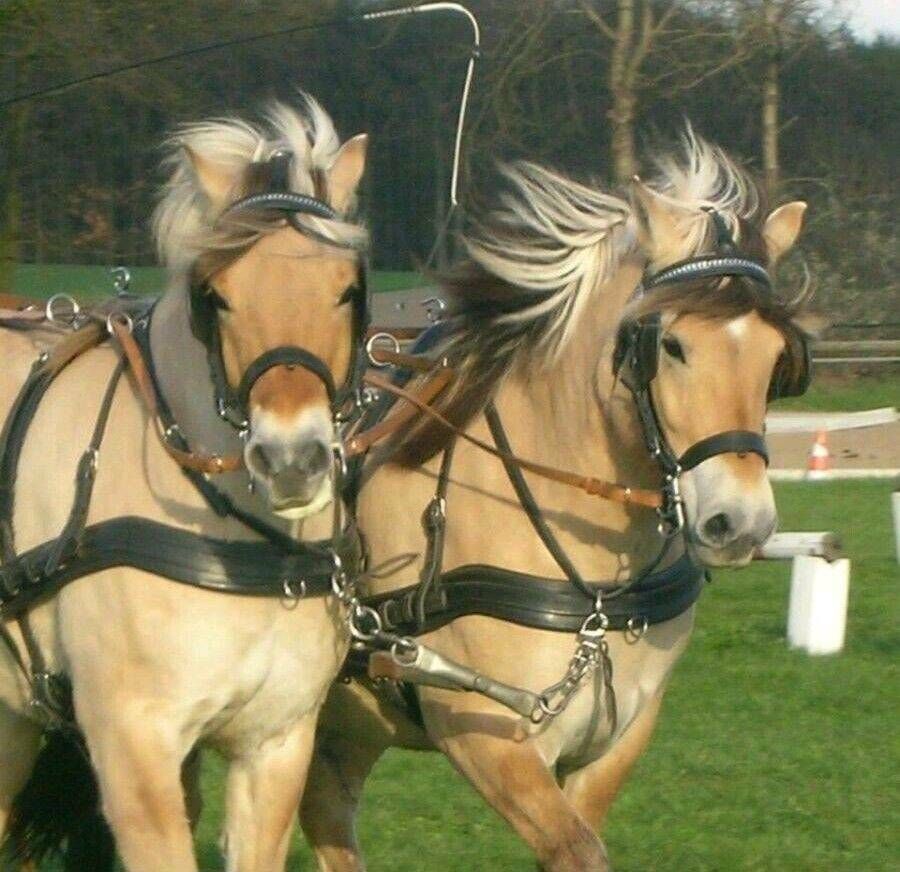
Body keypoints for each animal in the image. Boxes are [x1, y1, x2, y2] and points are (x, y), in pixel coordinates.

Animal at [298, 131, 812, 872]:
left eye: (776, 359)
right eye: (672, 344)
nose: (740, 523)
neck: (592, 590)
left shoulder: (620, 734)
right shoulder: (485, 735)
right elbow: (577, 850)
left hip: (343, 730)